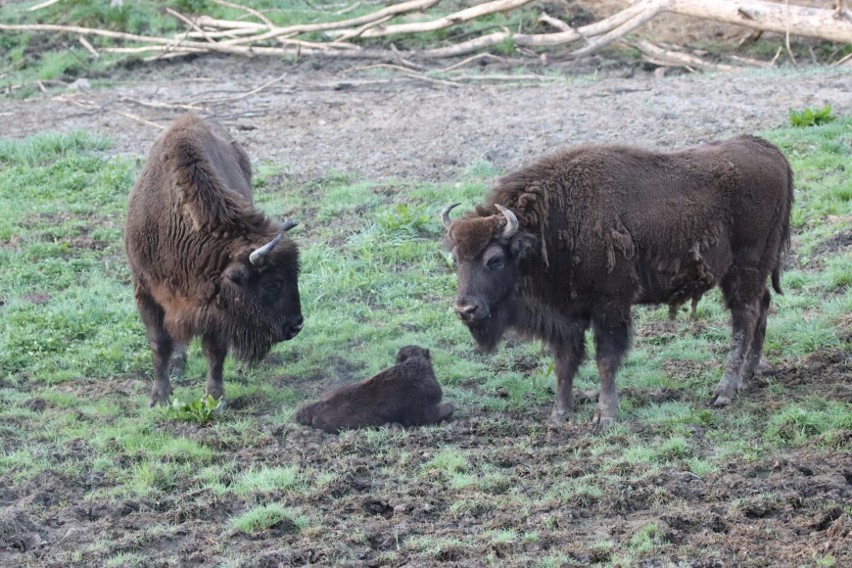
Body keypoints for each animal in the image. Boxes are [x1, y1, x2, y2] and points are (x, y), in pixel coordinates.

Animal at [125, 114, 302, 408]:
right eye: (272, 283)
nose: (297, 324)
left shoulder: (215, 305)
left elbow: (214, 351)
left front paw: (215, 398)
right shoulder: (146, 291)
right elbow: (159, 344)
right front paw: (159, 398)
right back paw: (178, 364)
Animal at [442, 135, 796, 428]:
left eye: (494, 259)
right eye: (455, 259)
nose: (465, 309)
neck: (552, 221)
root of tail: (771, 152)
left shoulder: (611, 305)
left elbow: (606, 359)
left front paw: (606, 415)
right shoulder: (565, 315)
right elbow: (564, 363)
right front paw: (560, 414)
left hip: (745, 268)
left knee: (743, 319)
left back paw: (725, 390)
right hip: (752, 271)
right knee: (762, 305)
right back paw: (750, 372)